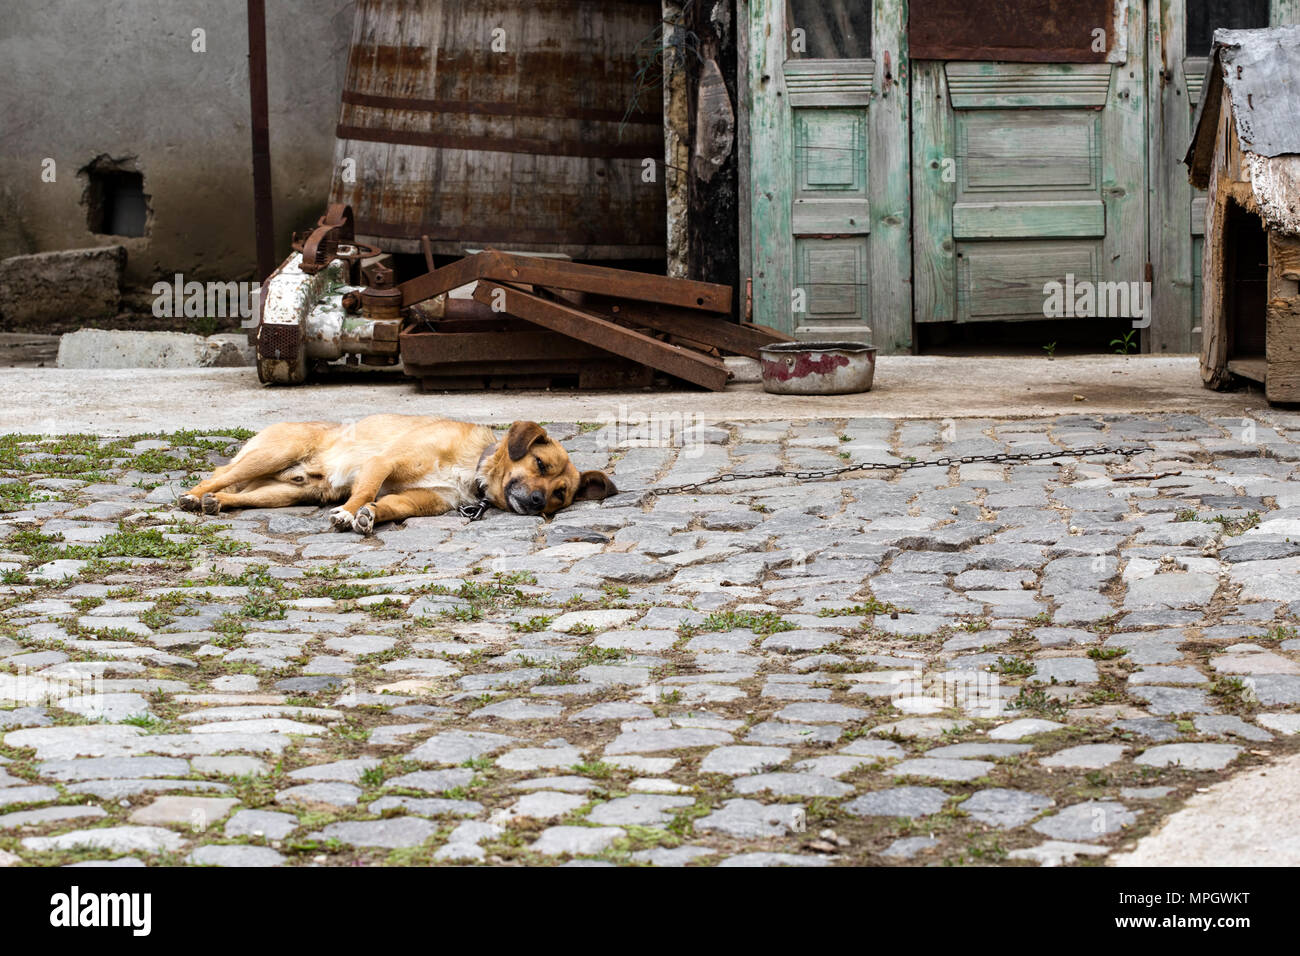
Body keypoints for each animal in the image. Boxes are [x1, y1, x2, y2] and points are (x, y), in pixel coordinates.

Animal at [179, 411, 618, 535]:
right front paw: (349, 513)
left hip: (284, 493)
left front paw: (369, 516)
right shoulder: (382, 463)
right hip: (273, 453)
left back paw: (218, 503)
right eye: (540, 465)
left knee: (241, 494)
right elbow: (365, 490)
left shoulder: (419, 500)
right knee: (218, 473)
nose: (539, 502)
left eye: (560, 495)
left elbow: (388, 506)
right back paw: (193, 495)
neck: (472, 469)